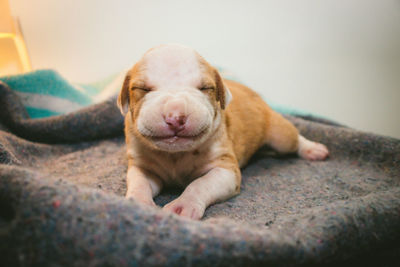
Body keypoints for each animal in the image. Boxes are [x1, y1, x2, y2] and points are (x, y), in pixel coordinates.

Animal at [117, 43, 330, 220]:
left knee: (294, 139)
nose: (175, 116)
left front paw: (183, 205)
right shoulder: (143, 166)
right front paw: (138, 204)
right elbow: (139, 182)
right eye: (142, 88)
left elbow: (200, 184)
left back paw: (313, 149)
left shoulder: (225, 170)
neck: (176, 154)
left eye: (205, 88)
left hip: (280, 135)